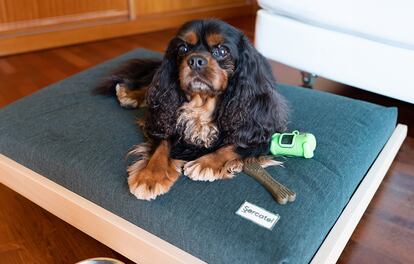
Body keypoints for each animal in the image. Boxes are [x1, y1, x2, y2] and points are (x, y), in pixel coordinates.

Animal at [96, 19, 288, 200]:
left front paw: (204, 164)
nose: (196, 60)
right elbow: (161, 146)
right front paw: (150, 177)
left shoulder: (261, 132)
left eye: (222, 51)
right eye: (183, 48)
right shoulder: (163, 120)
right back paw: (129, 95)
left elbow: (234, 147)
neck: (201, 103)